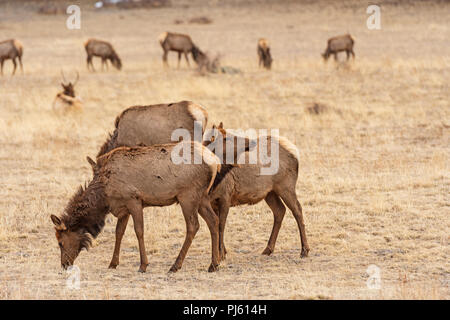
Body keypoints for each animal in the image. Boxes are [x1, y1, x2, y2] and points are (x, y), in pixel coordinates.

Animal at [50, 142, 222, 272]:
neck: (104, 196)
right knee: (213, 220)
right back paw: (214, 264)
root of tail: (216, 162)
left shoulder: (134, 200)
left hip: (187, 195)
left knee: (193, 226)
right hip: (202, 197)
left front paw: (143, 265)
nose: (64, 264)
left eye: (60, 242)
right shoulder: (123, 207)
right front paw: (113, 263)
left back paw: (175, 265)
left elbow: (139, 231)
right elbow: (119, 232)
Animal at [203, 124, 310, 262]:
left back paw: (304, 250)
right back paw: (268, 249)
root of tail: (295, 151)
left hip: (286, 186)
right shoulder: (211, 202)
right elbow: (216, 225)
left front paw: (221, 255)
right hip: (270, 192)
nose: (251, 142)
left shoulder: (225, 197)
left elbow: (221, 226)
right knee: (280, 210)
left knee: (297, 209)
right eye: (226, 138)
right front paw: (223, 253)